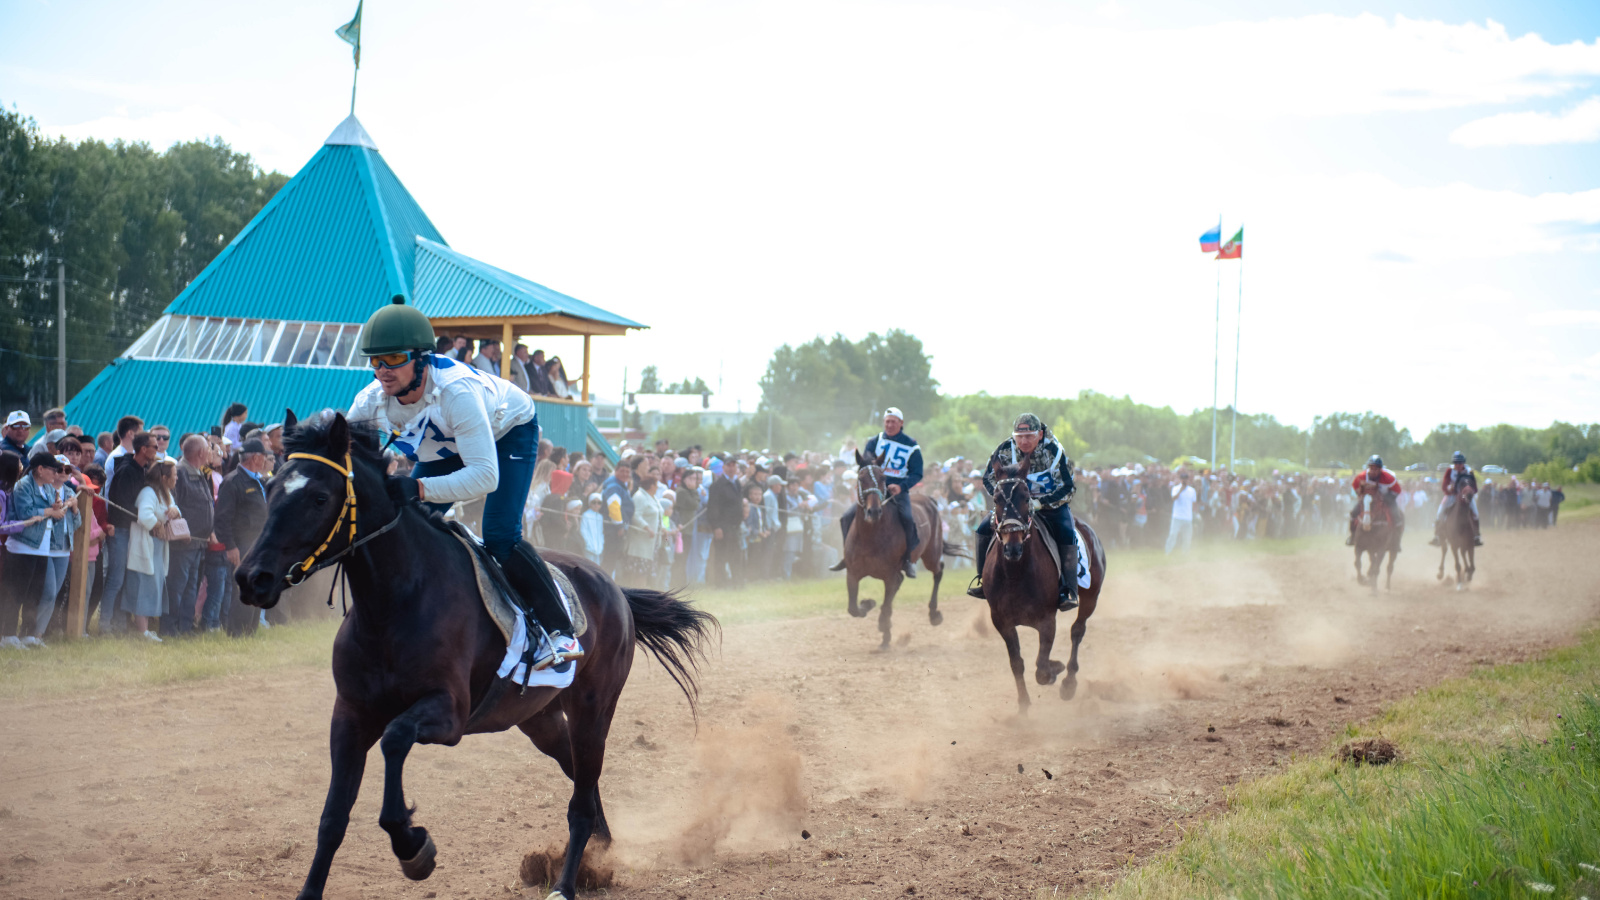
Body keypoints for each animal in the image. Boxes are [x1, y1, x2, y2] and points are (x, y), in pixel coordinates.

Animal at [233, 413, 716, 896]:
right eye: (270, 488)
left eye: (319, 497)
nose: (252, 578)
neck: (396, 601)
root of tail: (613, 586)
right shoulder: (350, 714)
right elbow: (333, 817)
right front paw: (311, 889)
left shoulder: (449, 714)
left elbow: (394, 739)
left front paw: (413, 846)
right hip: (540, 718)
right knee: (582, 776)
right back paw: (598, 855)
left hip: (593, 708)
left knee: (581, 798)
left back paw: (566, 883)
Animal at [838, 451, 960, 646]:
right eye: (861, 478)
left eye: (882, 478)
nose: (873, 511)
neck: (870, 536)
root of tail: (929, 499)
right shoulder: (853, 574)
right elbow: (853, 608)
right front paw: (868, 604)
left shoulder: (889, 576)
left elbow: (886, 605)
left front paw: (885, 633)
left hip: (931, 554)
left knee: (938, 571)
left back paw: (934, 615)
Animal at [979, 464, 1107, 711]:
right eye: (997, 498)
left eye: (1026, 497)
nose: (1012, 547)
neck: (1015, 574)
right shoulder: (1001, 620)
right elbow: (1017, 663)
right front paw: (1023, 704)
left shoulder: (1047, 620)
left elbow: (1042, 667)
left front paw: (1056, 669)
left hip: (1091, 596)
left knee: (1077, 631)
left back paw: (1069, 683)